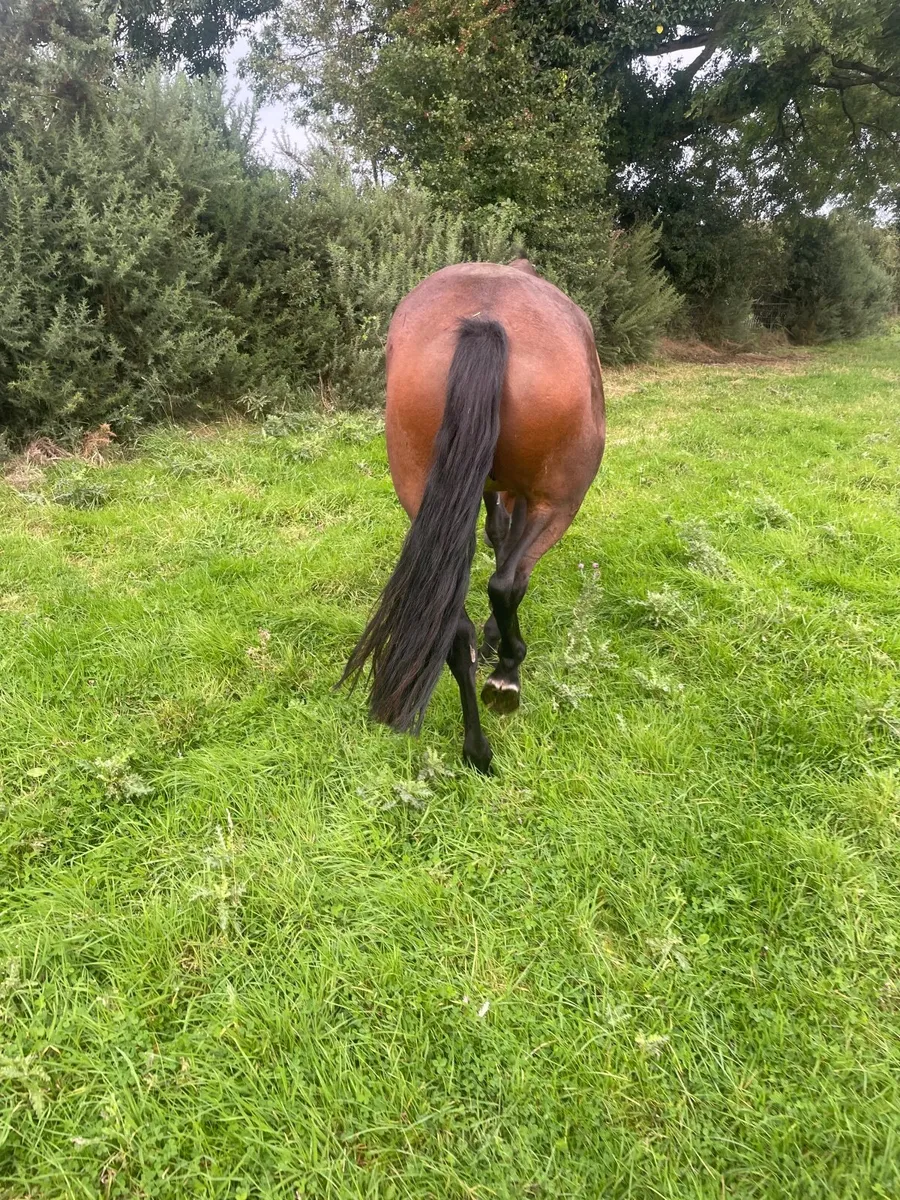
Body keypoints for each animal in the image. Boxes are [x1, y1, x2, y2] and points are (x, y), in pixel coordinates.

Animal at [340, 257, 606, 773]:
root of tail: (485, 319)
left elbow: (497, 535)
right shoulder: (529, 499)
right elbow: (512, 573)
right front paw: (500, 645)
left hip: (422, 490)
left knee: (455, 626)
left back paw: (476, 749)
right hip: (560, 501)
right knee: (504, 584)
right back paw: (506, 677)